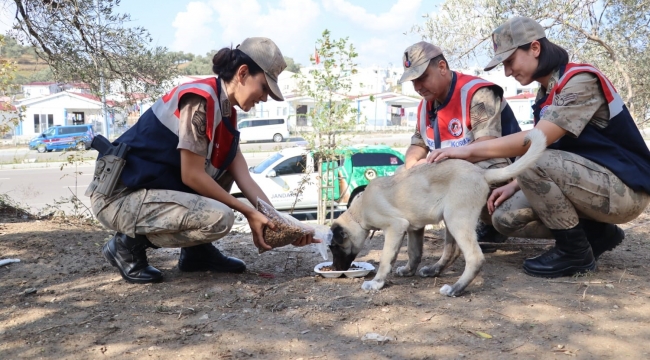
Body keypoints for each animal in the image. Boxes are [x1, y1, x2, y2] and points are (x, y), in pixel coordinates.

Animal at [330, 129, 548, 296]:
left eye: (334, 247)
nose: (334, 269)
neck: (358, 212)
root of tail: (481, 173)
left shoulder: (395, 227)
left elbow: (386, 258)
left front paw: (377, 282)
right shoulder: (413, 228)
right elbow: (414, 253)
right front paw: (408, 271)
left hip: (456, 219)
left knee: (474, 257)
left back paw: (455, 289)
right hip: (451, 219)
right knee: (453, 251)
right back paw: (434, 271)